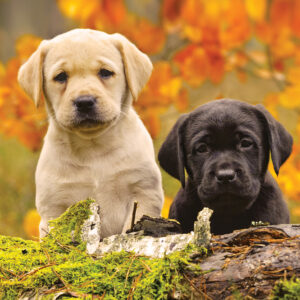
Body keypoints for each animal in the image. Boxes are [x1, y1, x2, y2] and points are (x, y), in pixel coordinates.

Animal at [18, 29, 164, 238]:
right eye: (61, 77)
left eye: (105, 72)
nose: (84, 102)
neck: (93, 147)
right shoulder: (54, 206)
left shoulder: (143, 192)